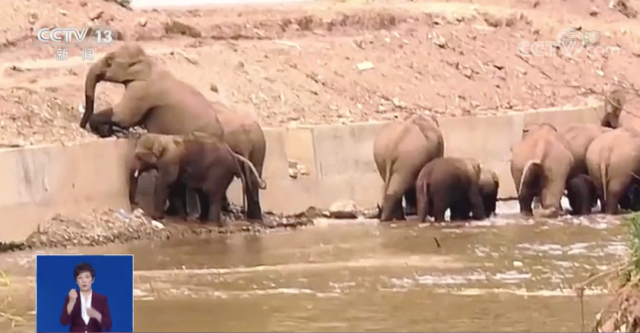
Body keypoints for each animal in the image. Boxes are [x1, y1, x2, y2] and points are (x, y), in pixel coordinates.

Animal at [131, 132, 266, 226]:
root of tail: (233, 155)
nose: (136, 202)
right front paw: (181, 217)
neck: (161, 137)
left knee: (211, 193)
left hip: (219, 171)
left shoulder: (170, 160)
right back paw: (202, 220)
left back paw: (211, 222)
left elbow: (165, 183)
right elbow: (177, 186)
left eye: (138, 156)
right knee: (203, 193)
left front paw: (156, 217)